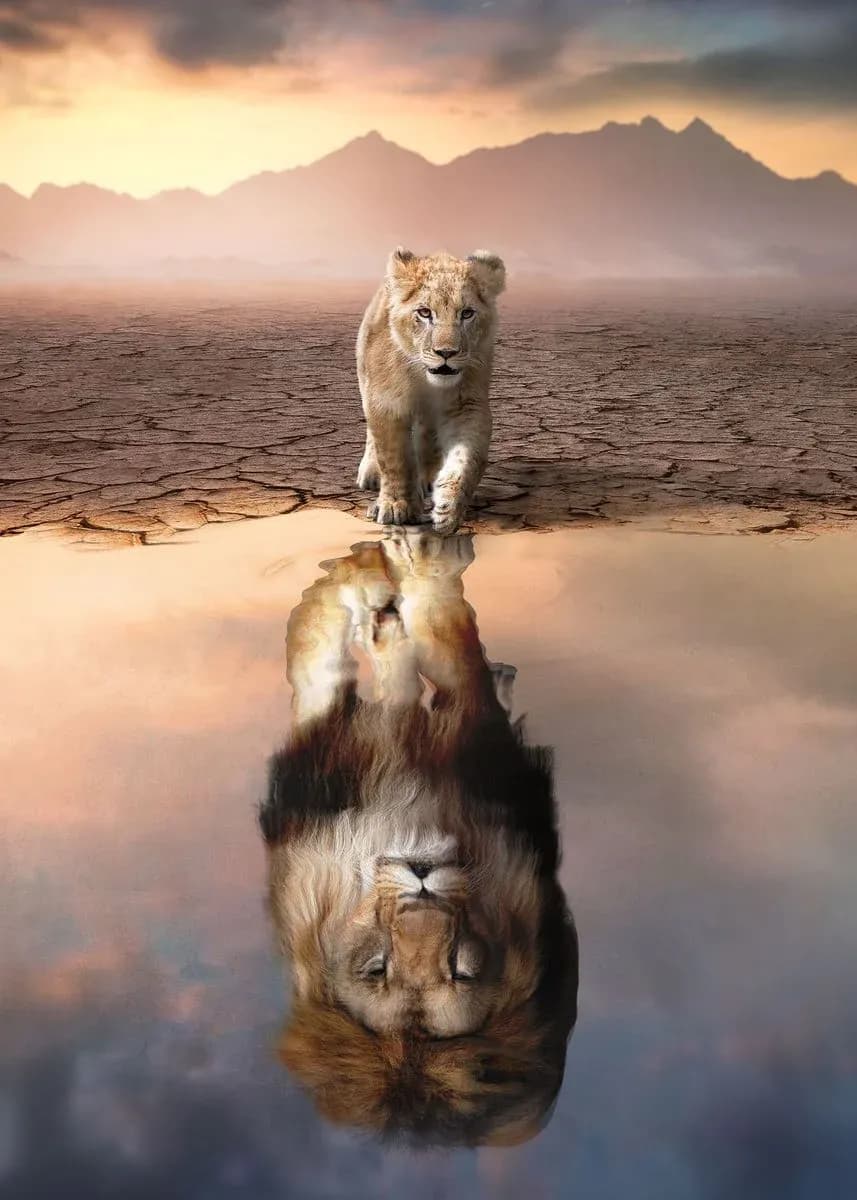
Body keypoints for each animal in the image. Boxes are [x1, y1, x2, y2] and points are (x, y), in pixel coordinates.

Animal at [259, 530, 578, 1147]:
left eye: (462, 969)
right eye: (376, 968)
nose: (422, 881)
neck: (410, 812)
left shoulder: (486, 751)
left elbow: (449, 638)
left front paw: (423, 567)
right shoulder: (322, 763)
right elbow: (317, 657)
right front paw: (355, 582)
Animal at [355, 248, 506, 535]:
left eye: (467, 313)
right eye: (425, 313)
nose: (446, 353)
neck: (423, 377)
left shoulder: (467, 404)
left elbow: (467, 459)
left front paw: (448, 508)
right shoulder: (386, 402)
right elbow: (394, 458)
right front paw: (396, 506)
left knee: (428, 433)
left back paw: (428, 477)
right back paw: (370, 473)